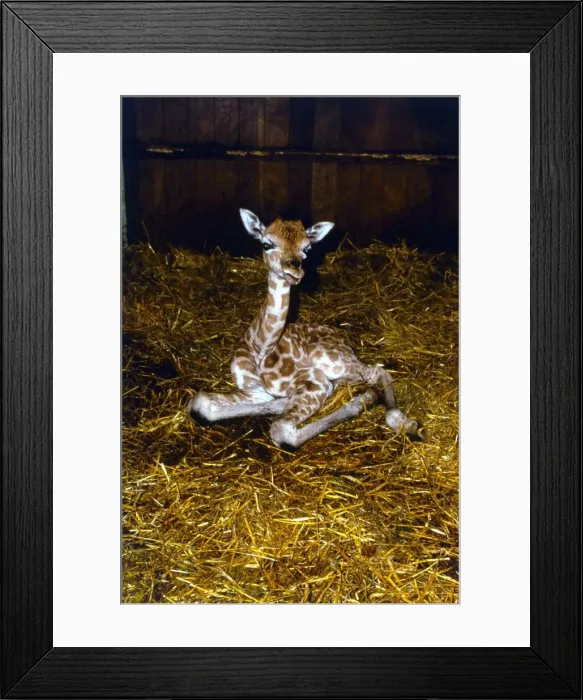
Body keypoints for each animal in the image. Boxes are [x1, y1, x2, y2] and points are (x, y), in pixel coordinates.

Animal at [188, 209, 420, 449]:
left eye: (307, 248)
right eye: (266, 244)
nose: (294, 269)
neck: (261, 347)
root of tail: (341, 338)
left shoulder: (314, 381)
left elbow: (281, 430)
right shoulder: (254, 391)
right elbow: (199, 401)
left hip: (333, 362)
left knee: (378, 372)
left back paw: (401, 420)